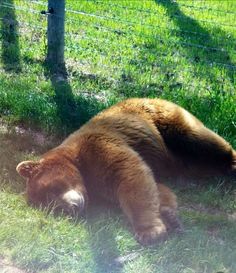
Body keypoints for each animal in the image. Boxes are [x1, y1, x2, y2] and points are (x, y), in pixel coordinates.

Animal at [16, 97, 234, 244]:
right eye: (51, 207)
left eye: (52, 190)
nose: (72, 208)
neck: (79, 164)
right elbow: (156, 187)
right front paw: (169, 216)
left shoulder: (98, 147)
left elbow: (130, 175)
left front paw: (150, 231)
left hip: (163, 120)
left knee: (201, 140)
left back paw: (231, 163)